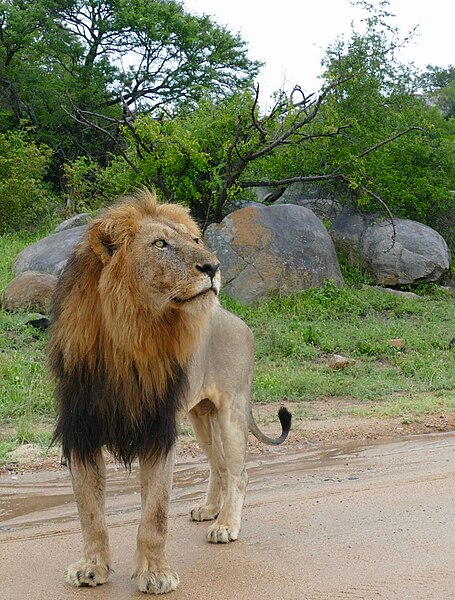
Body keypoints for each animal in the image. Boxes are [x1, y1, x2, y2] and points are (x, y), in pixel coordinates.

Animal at [50, 190, 292, 592]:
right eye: (160, 244)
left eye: (195, 240)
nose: (213, 267)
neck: (129, 337)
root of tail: (237, 319)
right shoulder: (81, 431)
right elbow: (89, 512)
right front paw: (91, 567)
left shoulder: (158, 431)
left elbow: (155, 515)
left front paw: (155, 575)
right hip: (200, 414)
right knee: (219, 465)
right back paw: (209, 510)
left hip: (230, 410)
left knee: (238, 472)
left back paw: (226, 525)